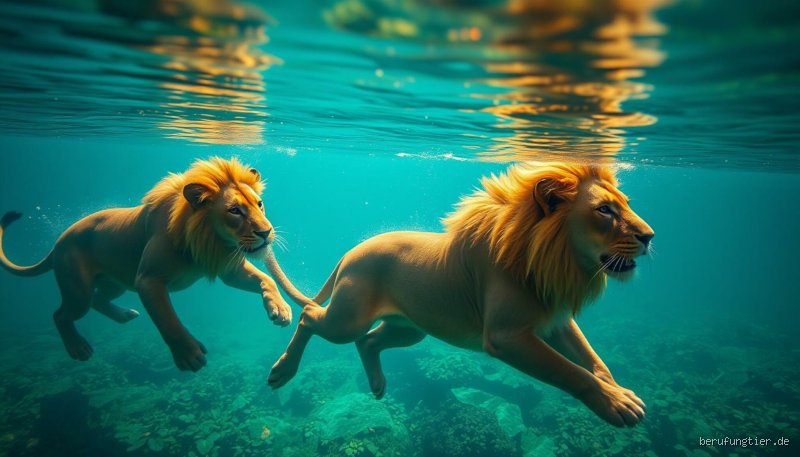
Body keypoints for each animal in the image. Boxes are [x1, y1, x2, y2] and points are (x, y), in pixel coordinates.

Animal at [0, 157, 303, 372]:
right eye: (235, 211)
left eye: (259, 204)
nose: (266, 232)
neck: (210, 239)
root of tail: (57, 244)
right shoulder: (148, 280)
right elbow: (168, 321)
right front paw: (189, 355)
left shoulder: (230, 268)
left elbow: (267, 279)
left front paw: (281, 309)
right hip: (79, 290)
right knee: (60, 314)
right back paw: (78, 348)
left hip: (116, 282)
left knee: (98, 300)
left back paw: (125, 315)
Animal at [263, 163, 654, 427]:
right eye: (604, 210)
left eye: (625, 203)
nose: (649, 236)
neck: (560, 262)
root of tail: (349, 253)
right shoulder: (506, 337)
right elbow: (571, 372)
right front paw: (616, 405)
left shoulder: (556, 321)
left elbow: (593, 361)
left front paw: (620, 391)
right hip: (347, 320)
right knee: (310, 318)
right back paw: (282, 371)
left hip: (411, 328)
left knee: (369, 341)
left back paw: (377, 384)